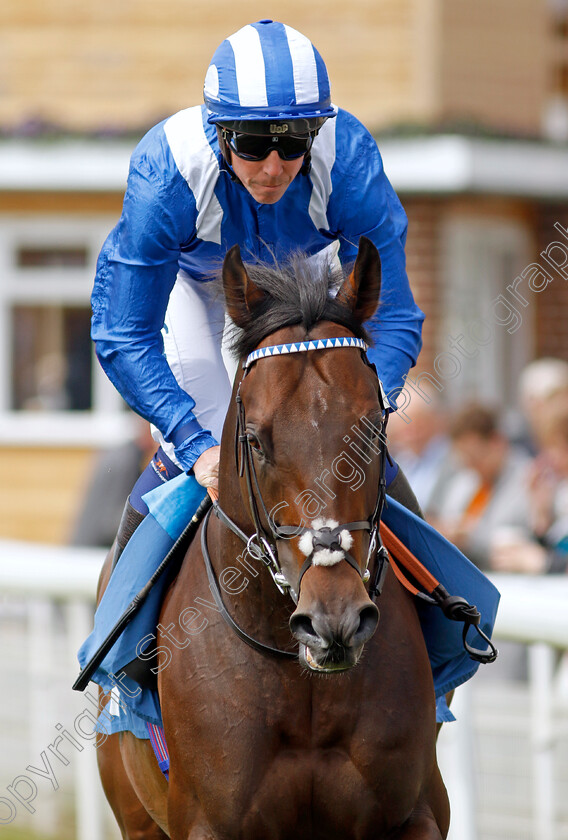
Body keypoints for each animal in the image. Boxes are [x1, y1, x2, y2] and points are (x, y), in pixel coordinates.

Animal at [98, 238, 452, 840]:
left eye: (373, 429)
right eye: (255, 440)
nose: (334, 619)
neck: (300, 678)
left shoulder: (417, 815)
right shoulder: (207, 824)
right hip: (135, 816)